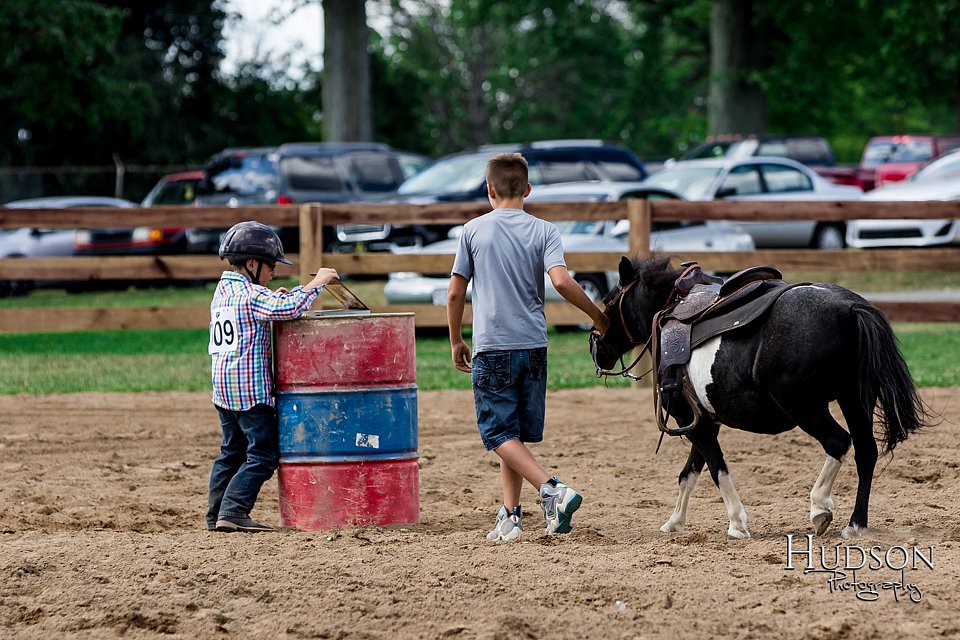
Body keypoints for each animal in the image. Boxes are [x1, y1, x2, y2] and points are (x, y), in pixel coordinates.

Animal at [592, 258, 928, 536]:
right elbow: (689, 472)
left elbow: (716, 468)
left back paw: (820, 508)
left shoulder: (690, 419)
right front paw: (674, 522)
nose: (596, 347)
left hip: (803, 406)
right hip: (854, 400)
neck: (667, 312)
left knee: (838, 442)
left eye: (607, 304)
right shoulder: (702, 421)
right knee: (866, 451)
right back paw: (856, 524)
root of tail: (848, 307)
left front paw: (736, 523)